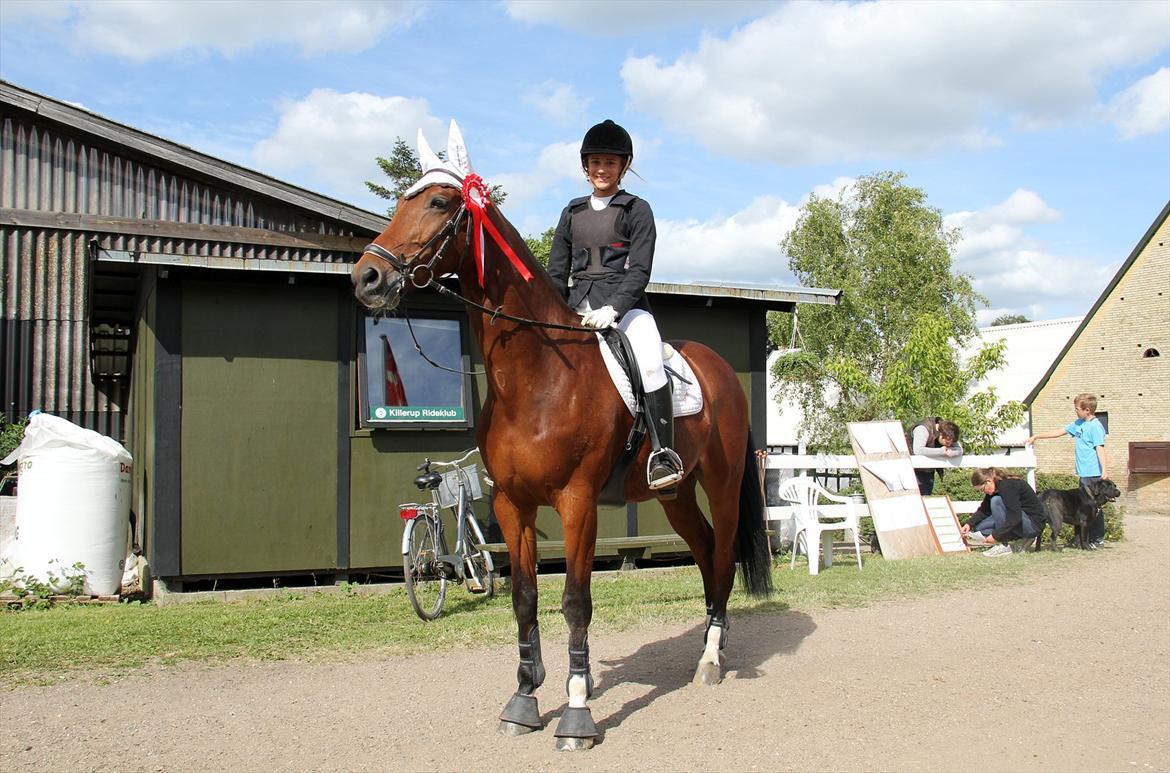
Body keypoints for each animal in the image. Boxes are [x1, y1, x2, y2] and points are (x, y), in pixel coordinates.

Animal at [351, 123, 772, 748]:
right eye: (404, 200)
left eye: (440, 203)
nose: (367, 278)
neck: (538, 378)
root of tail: (719, 369)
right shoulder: (512, 503)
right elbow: (525, 599)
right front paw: (524, 699)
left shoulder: (577, 502)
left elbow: (576, 601)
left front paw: (576, 711)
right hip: (673, 495)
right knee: (701, 552)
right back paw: (703, 644)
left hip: (719, 484)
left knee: (720, 555)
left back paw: (711, 660)